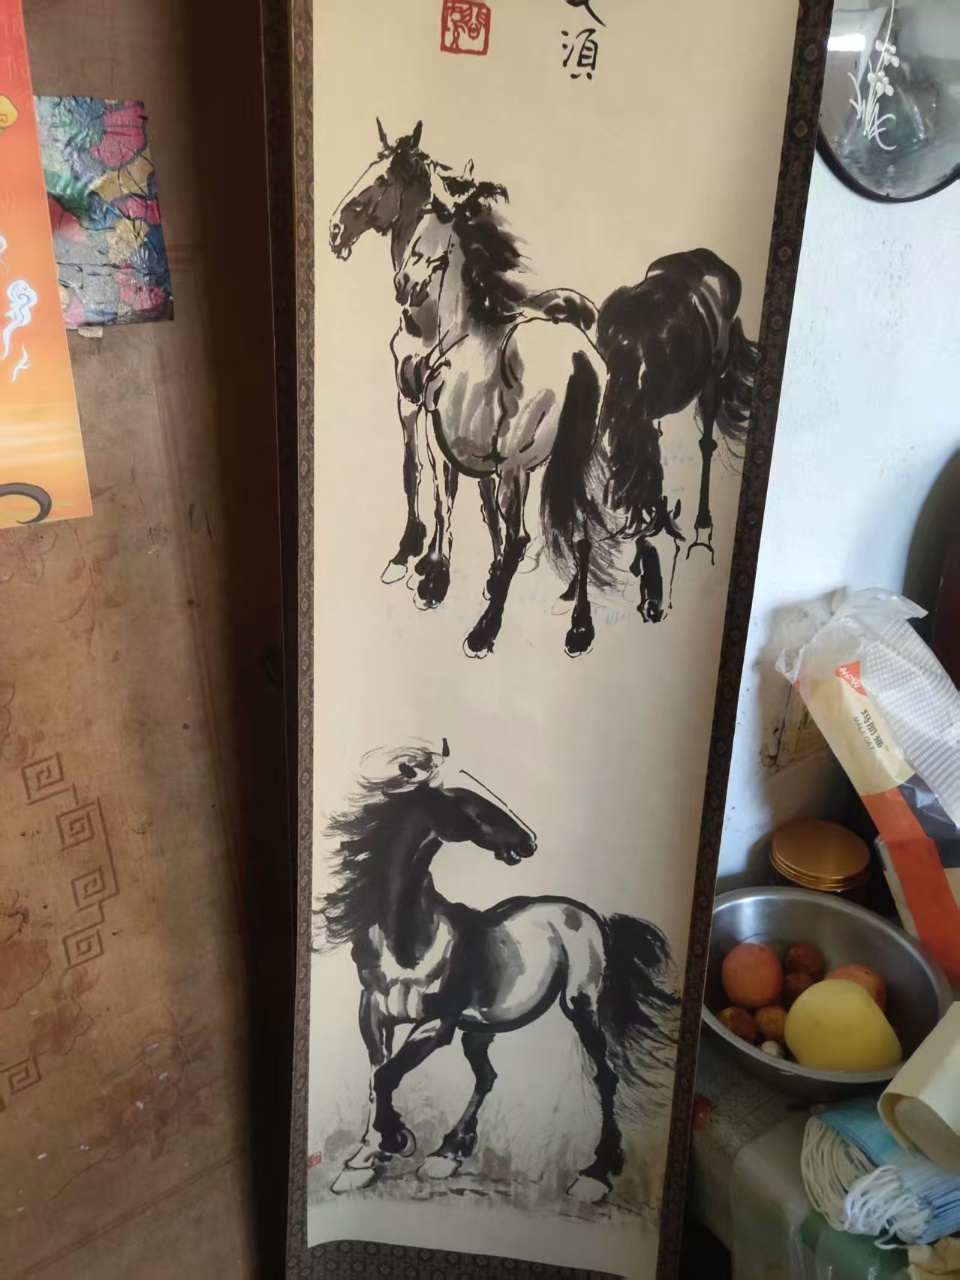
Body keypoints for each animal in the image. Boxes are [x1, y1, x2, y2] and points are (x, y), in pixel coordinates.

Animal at [314, 742, 680, 1206]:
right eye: (464, 798)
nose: (529, 841)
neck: (408, 942)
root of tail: (588, 914)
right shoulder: (374, 1016)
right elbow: (377, 1078)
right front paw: (365, 1160)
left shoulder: (437, 1024)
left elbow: (386, 1075)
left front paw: (394, 1142)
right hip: (481, 1026)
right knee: (487, 1076)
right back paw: (447, 1155)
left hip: (580, 1006)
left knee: (605, 1075)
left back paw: (594, 1176)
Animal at [330, 121, 608, 658]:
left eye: (382, 180)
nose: (334, 230)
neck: (453, 328)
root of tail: (578, 355)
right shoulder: (466, 442)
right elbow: (468, 502)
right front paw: (454, 569)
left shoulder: (423, 412)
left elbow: (432, 485)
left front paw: (427, 570)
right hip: (573, 460)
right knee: (582, 528)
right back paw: (578, 625)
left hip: (521, 467)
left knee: (529, 533)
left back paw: (485, 630)